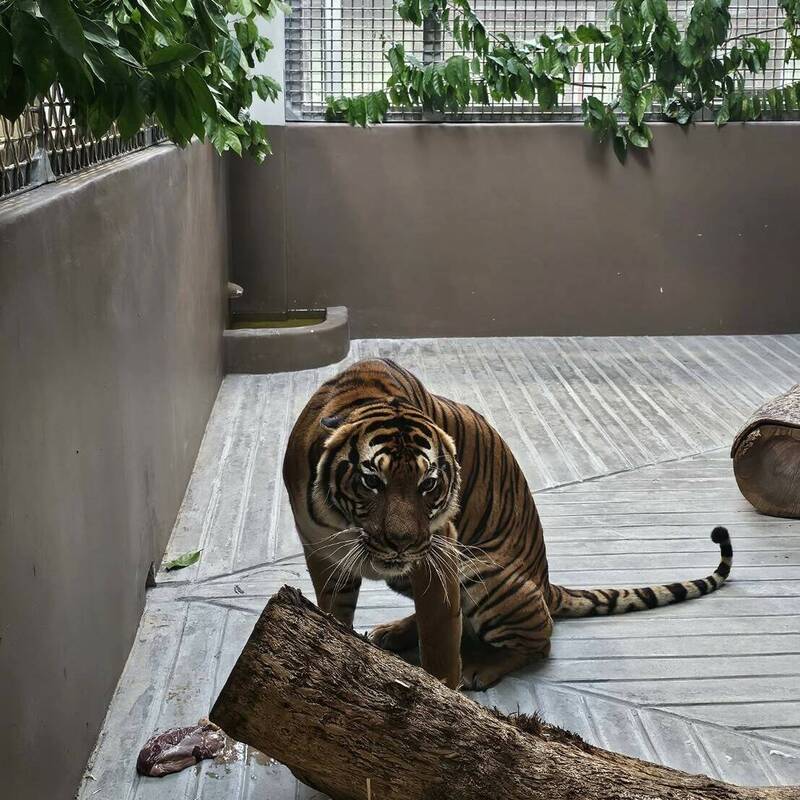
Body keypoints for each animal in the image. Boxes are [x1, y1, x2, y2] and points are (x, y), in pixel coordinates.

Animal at [282, 358, 734, 690]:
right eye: (372, 481)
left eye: (428, 484)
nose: (402, 544)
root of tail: (546, 584)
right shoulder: (322, 552)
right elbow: (333, 612)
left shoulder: (439, 552)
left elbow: (440, 637)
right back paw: (392, 631)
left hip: (483, 574)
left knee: (539, 640)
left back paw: (478, 668)